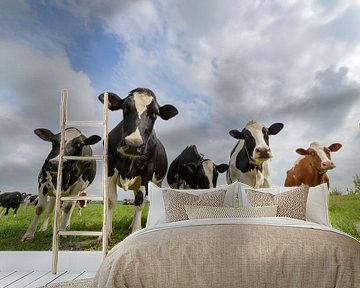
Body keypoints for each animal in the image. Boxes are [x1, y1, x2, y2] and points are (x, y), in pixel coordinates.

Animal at [97, 88, 178, 234]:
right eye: (125, 108)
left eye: (155, 114)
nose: (133, 145)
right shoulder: (109, 168)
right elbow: (111, 200)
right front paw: (106, 231)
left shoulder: (148, 170)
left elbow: (140, 201)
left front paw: (136, 231)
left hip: (157, 182)